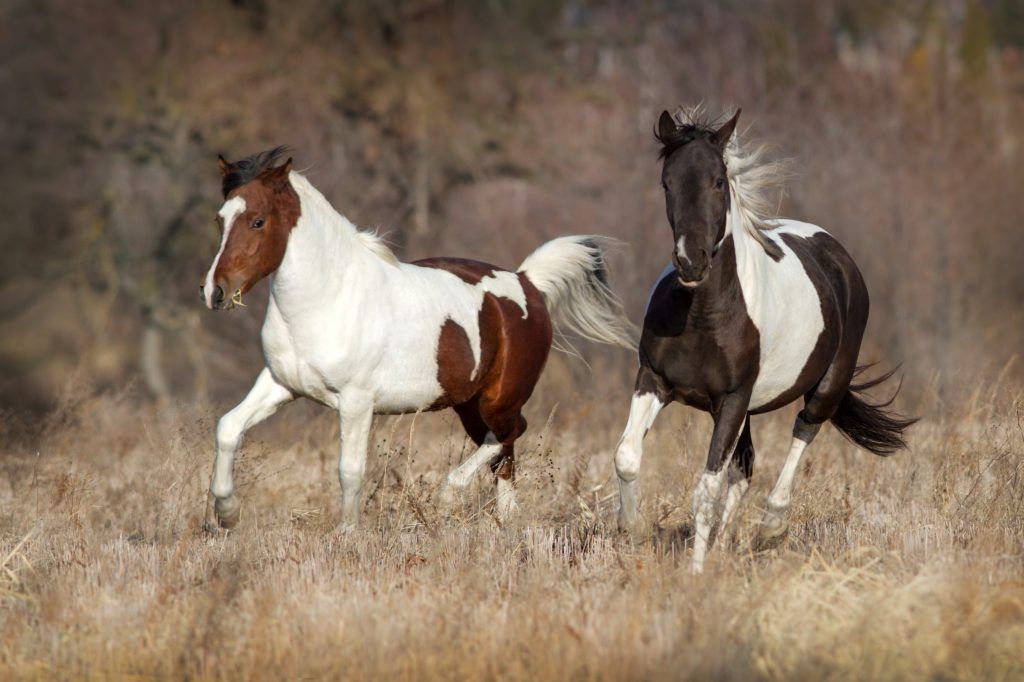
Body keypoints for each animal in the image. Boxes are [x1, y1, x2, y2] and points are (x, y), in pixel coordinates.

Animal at [197, 146, 638, 522]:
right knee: (503, 451)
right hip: (469, 405)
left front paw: (347, 534)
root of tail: (528, 282)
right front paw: (226, 514)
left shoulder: (356, 402)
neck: (327, 299)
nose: (215, 291)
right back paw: (505, 520)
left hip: (500, 398)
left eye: (258, 221)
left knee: (510, 434)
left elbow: (350, 471)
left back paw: (450, 495)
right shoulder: (280, 384)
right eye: (219, 219)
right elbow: (228, 428)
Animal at [610, 106, 917, 569]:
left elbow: (707, 488)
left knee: (802, 433)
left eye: (718, 180)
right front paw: (635, 531)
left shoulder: (734, 398)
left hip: (823, 388)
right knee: (745, 467)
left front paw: (695, 573)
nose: (691, 260)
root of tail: (836, 254)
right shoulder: (654, 381)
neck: (703, 313)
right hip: (738, 409)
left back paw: (771, 528)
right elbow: (628, 456)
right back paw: (726, 547)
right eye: (667, 182)